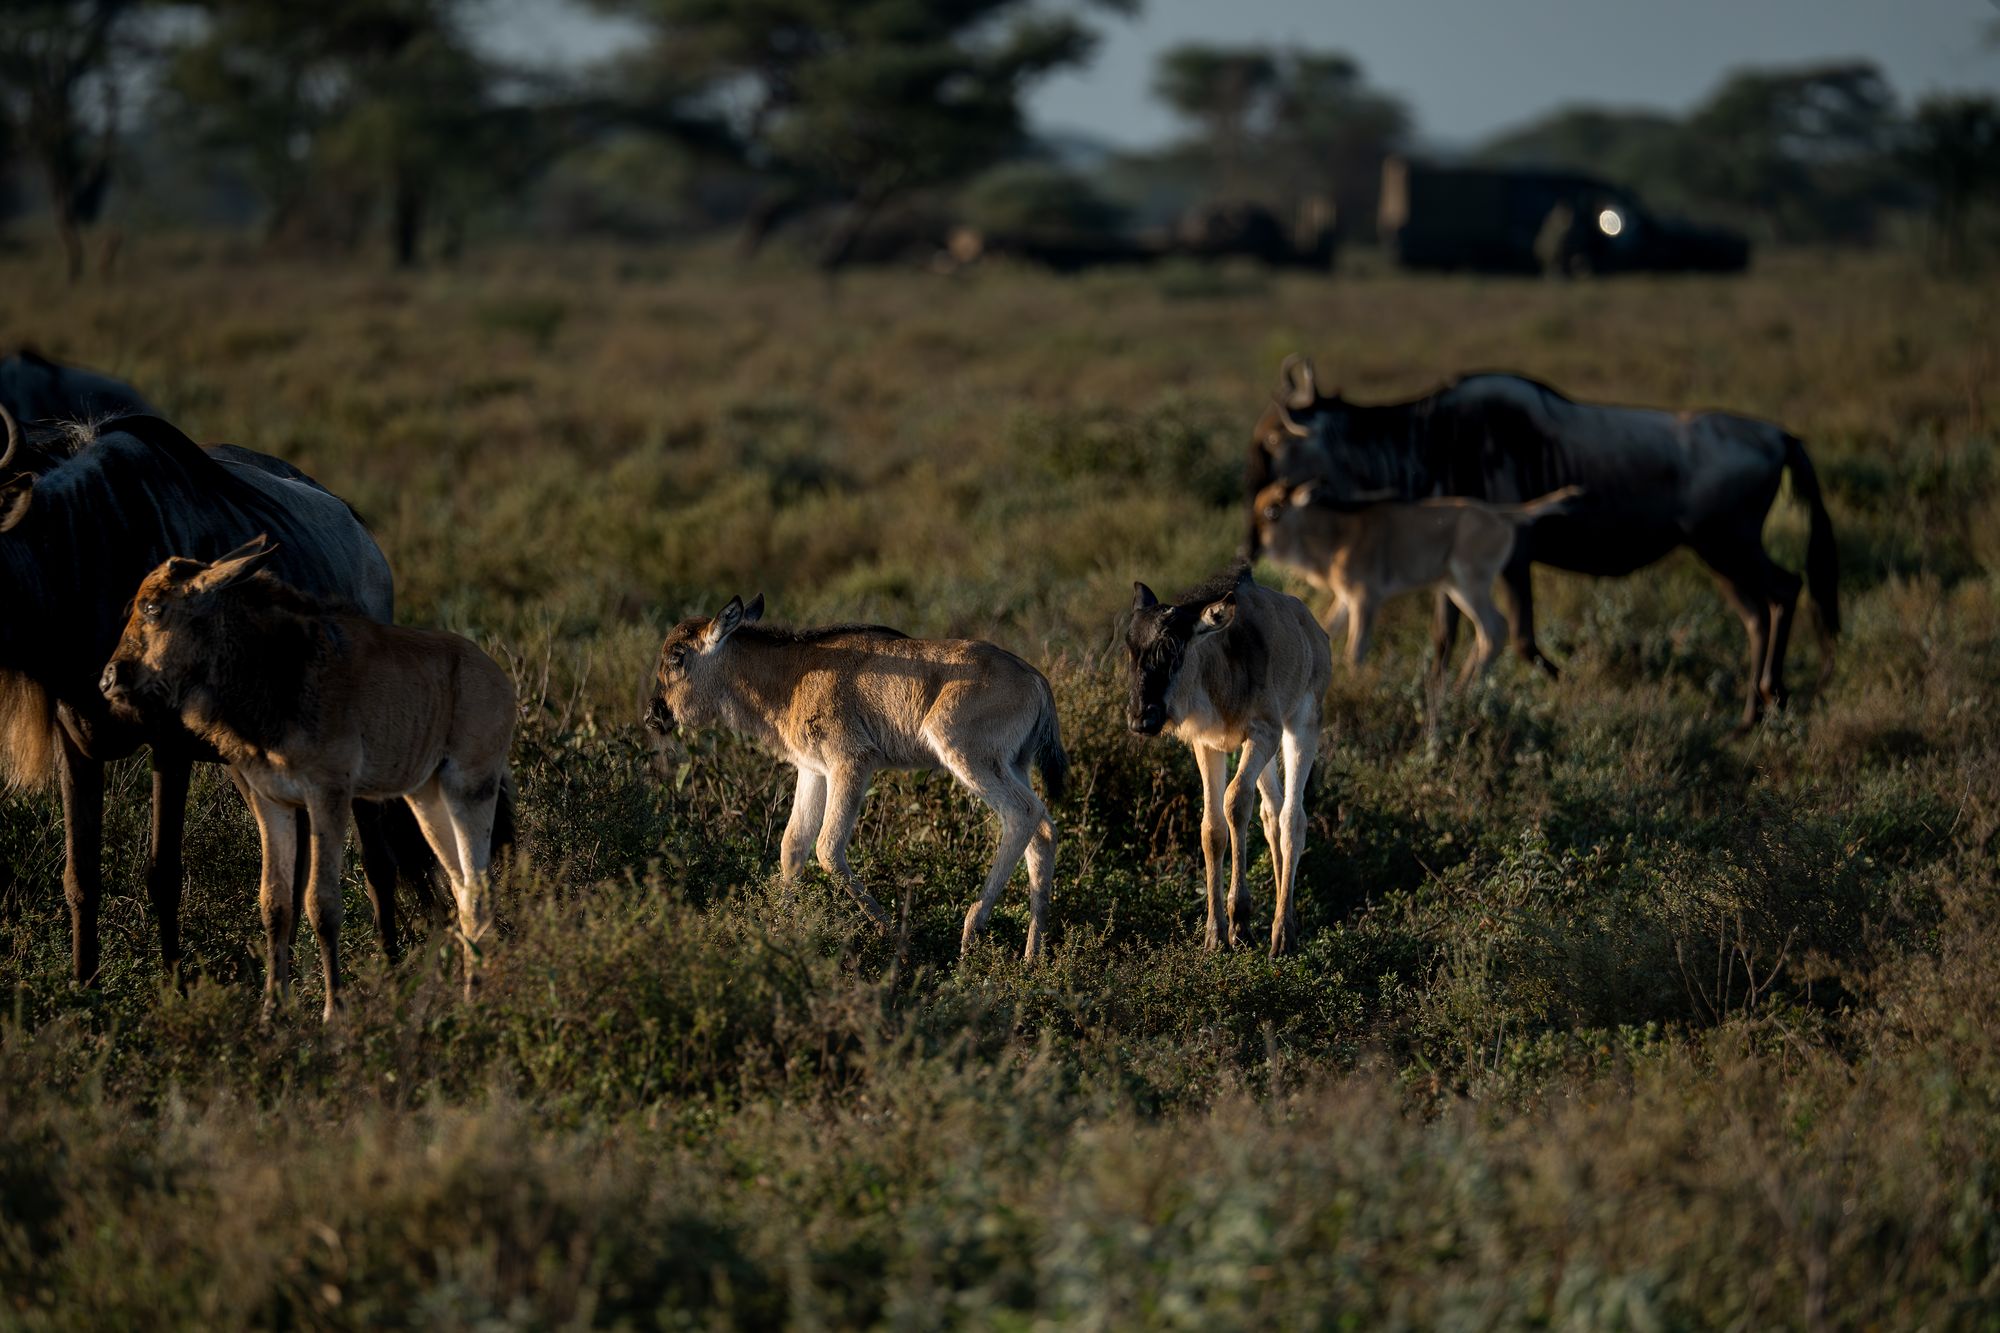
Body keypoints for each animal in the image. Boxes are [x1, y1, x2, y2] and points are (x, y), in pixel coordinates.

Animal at [101, 536, 516, 1020]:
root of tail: (499, 678)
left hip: (469, 791)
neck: (279, 673)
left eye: (153, 607)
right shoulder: (273, 803)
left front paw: (335, 1011)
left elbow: (322, 902)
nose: (108, 679)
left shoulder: (328, 796)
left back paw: (476, 1000)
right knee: (463, 887)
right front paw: (270, 1011)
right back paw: (471, 996)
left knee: (479, 887)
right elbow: (275, 902)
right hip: (428, 801)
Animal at [644, 596, 1066, 960]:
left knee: (1022, 814)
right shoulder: (813, 771)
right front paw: (778, 931)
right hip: (1012, 766)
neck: (794, 675)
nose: (653, 715)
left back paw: (972, 930)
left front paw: (900, 942)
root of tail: (1036, 679)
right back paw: (1032, 956)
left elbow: (827, 849)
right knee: (1043, 829)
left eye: (677, 657)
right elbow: (792, 846)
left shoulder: (850, 764)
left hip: (966, 756)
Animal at [1126, 566, 1331, 956]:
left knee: (1293, 818)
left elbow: (1235, 803)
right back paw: (1289, 918)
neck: (1219, 670)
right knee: (1272, 813)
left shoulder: (1263, 733)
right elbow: (1212, 827)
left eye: (1172, 648)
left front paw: (1241, 921)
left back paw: (1283, 934)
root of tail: (1316, 631)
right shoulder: (1207, 744)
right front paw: (1216, 933)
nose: (1141, 719)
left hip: (1302, 725)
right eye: (1131, 649)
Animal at [1253, 479, 1585, 681]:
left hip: (1471, 585)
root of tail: (1502, 515)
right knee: (1492, 630)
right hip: (1455, 588)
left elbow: (1355, 650)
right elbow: (1326, 630)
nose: (1253, 549)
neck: (1339, 533)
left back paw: (1462, 690)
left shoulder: (1365, 600)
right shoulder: (1345, 599)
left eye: (1273, 511)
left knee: (1494, 629)